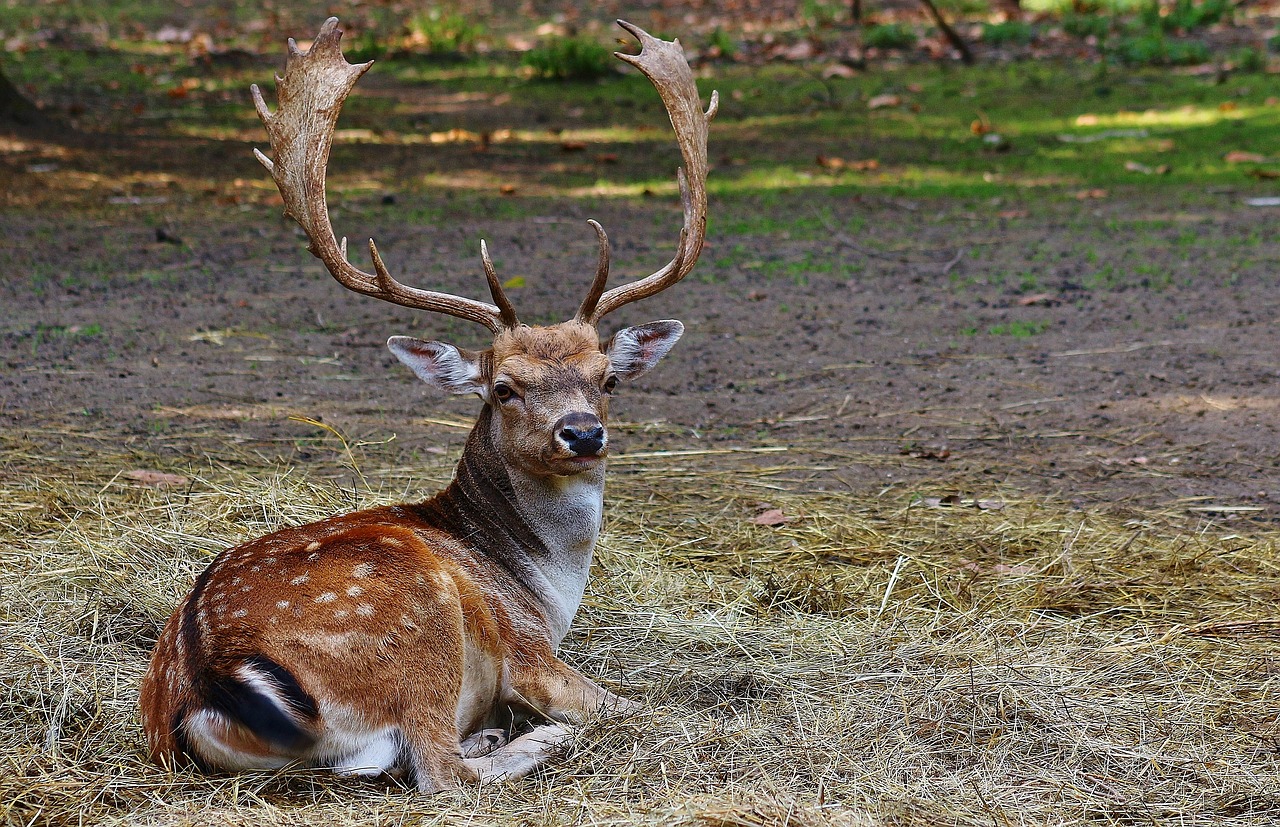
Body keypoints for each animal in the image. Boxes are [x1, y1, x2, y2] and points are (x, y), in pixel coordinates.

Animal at [141, 17, 721, 798]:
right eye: (503, 387)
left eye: (608, 379)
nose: (581, 433)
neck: (540, 585)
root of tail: (210, 674)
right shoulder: (529, 652)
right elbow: (635, 708)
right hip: (419, 628)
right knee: (441, 769)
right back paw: (522, 737)